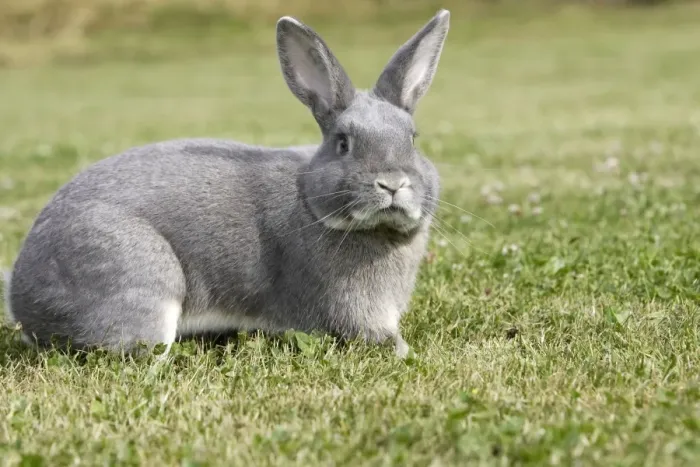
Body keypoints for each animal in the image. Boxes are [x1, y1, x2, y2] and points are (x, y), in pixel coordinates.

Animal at [5, 9, 450, 358]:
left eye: (413, 139)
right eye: (343, 143)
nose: (392, 183)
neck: (309, 202)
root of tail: (21, 297)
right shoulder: (350, 308)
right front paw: (407, 352)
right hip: (141, 281)